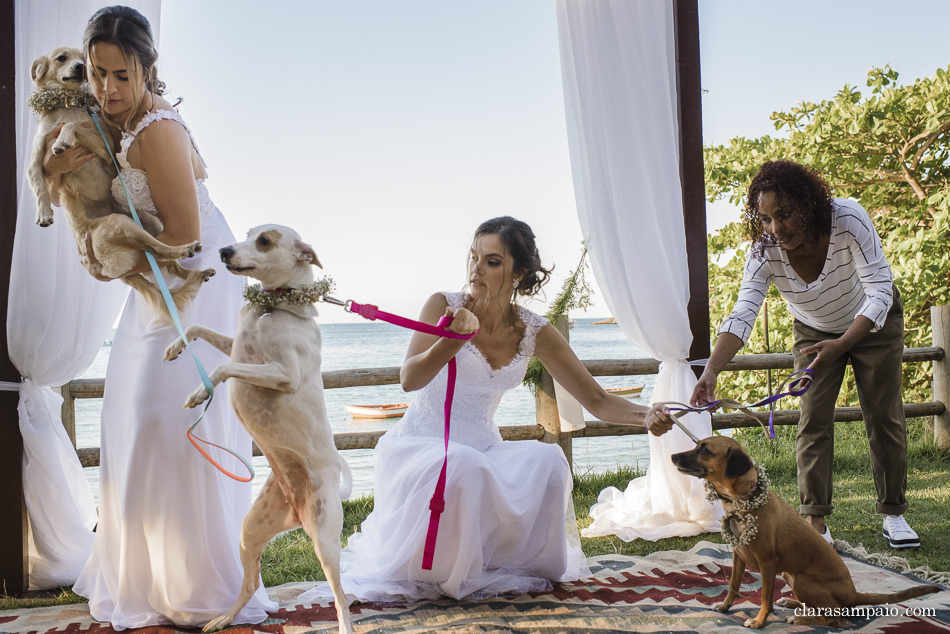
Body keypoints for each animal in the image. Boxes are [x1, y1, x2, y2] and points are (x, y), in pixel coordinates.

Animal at [165, 223, 356, 632]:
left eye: (265, 241)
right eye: (248, 233)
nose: (223, 251)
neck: (270, 308)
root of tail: (297, 512)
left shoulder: (283, 373)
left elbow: (224, 368)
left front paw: (198, 393)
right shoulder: (236, 345)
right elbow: (201, 328)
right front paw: (175, 346)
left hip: (325, 541)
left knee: (341, 598)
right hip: (251, 530)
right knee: (251, 583)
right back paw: (223, 619)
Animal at [672, 434, 940, 628]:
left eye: (705, 450)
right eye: (698, 445)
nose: (673, 456)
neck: (744, 502)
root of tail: (853, 594)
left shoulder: (768, 563)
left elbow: (764, 597)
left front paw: (759, 621)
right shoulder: (739, 556)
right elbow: (733, 586)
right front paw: (725, 607)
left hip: (801, 579)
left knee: (834, 618)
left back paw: (801, 618)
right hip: (789, 574)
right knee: (820, 609)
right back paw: (793, 604)